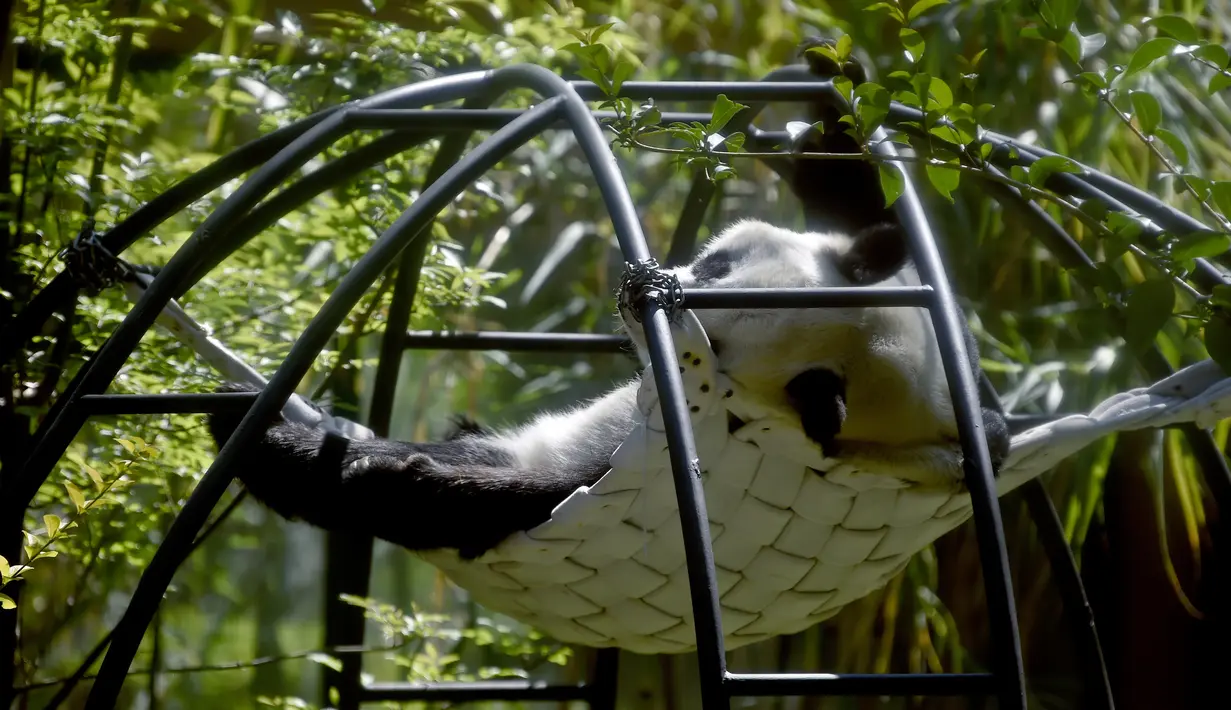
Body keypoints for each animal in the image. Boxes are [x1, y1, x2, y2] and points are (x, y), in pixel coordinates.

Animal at [208, 39, 1009, 563]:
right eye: (718, 262)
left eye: (705, 349)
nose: (638, 294)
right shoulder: (957, 361)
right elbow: (864, 208)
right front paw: (831, 84)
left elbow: (487, 492)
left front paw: (322, 452)